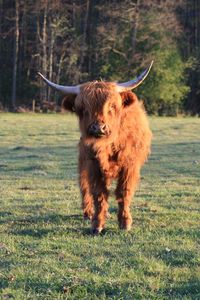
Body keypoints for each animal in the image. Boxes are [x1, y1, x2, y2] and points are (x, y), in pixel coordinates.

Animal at [38, 62, 152, 233]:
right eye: (83, 109)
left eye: (112, 107)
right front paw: (97, 224)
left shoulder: (130, 165)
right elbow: (98, 193)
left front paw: (125, 222)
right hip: (83, 160)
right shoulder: (93, 165)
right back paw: (88, 213)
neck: (108, 146)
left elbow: (124, 191)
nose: (98, 128)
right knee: (84, 185)